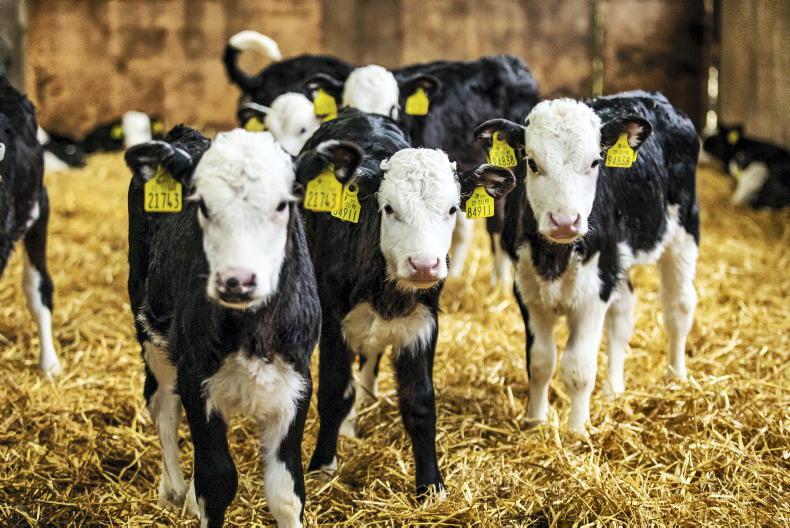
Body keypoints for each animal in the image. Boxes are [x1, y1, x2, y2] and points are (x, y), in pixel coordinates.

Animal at [125, 125, 320, 528]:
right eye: (201, 204)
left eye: (283, 204)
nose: (237, 279)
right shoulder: (196, 378)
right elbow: (216, 481)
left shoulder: (297, 380)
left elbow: (286, 491)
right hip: (149, 329)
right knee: (161, 401)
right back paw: (173, 490)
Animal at [294, 108, 514, 496]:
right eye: (389, 208)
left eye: (453, 209)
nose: (424, 264)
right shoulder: (334, 321)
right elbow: (334, 391)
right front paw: (322, 464)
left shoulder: (422, 325)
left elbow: (420, 400)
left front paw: (430, 484)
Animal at [474, 91, 700, 433]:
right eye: (532, 163)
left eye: (594, 162)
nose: (565, 221)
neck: (553, 257)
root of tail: (655, 98)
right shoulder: (526, 290)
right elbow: (540, 361)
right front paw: (534, 421)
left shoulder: (594, 293)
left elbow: (577, 368)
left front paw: (577, 431)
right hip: (616, 259)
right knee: (623, 315)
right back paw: (614, 389)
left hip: (683, 229)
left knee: (679, 308)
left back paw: (676, 377)